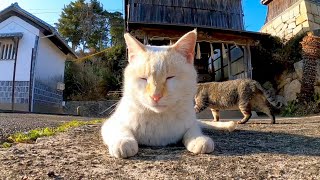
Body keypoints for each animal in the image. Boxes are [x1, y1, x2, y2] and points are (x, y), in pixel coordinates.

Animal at [101, 29, 236, 159]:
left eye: (170, 77)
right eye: (143, 78)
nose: (155, 96)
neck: (159, 117)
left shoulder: (190, 122)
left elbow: (192, 130)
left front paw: (198, 139)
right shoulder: (110, 123)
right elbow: (120, 129)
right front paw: (123, 142)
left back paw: (228, 125)